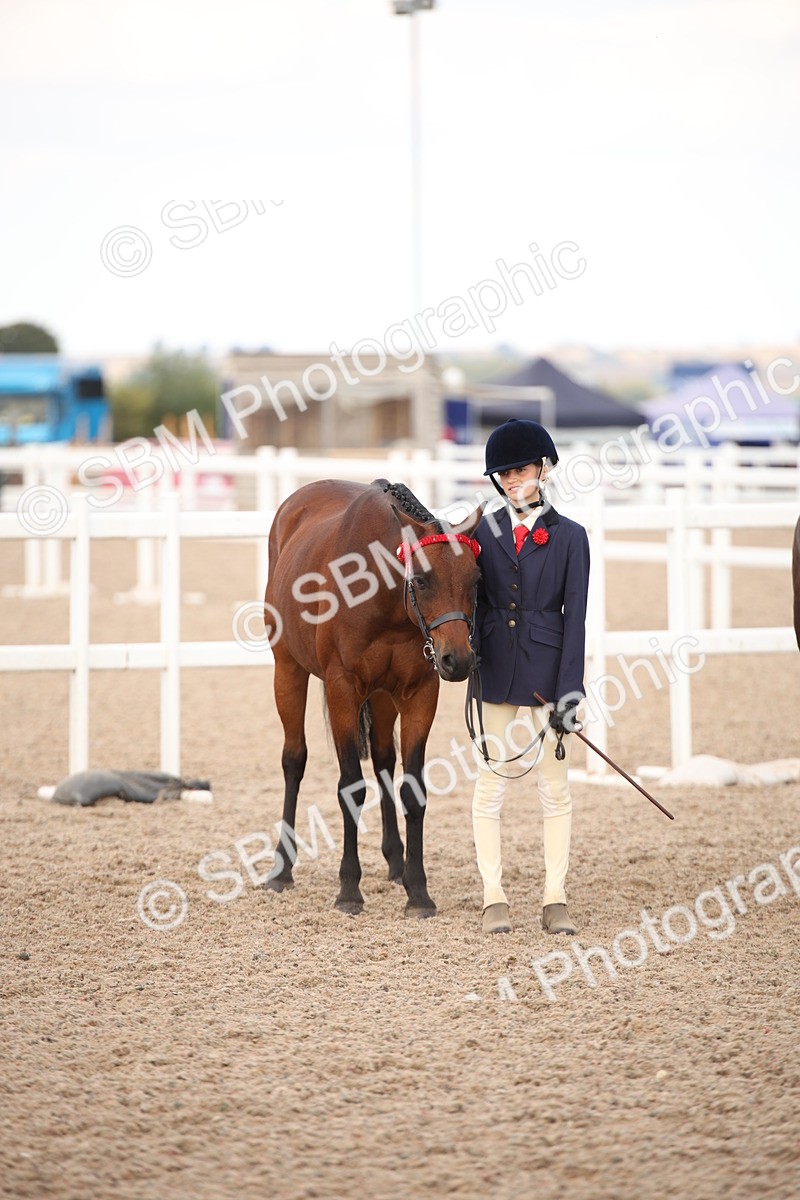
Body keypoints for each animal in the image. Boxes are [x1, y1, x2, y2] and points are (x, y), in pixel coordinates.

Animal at [263, 478, 483, 916]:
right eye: (423, 579)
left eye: (475, 579)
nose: (459, 660)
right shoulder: (343, 690)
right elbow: (351, 787)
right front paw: (349, 888)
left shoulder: (419, 693)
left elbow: (411, 789)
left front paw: (418, 892)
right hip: (287, 669)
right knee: (294, 759)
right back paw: (282, 869)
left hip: (382, 697)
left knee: (383, 759)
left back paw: (396, 863)